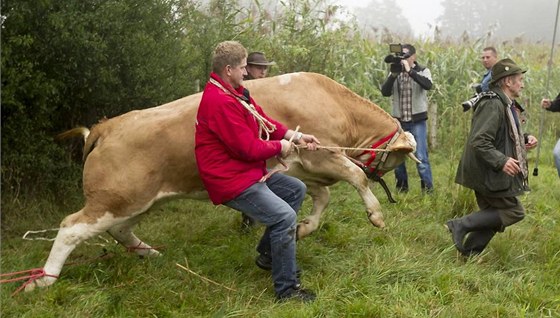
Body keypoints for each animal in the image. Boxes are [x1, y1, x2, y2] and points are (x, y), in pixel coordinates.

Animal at [25, 72, 416, 290]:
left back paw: (150, 253)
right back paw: (44, 280)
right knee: (71, 227)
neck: (333, 102)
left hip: (137, 200)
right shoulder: (324, 153)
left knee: (119, 230)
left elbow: (321, 197)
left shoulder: (301, 168)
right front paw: (376, 214)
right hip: (115, 199)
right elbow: (355, 177)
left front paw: (303, 229)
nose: (390, 185)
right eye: (397, 160)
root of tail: (108, 125)